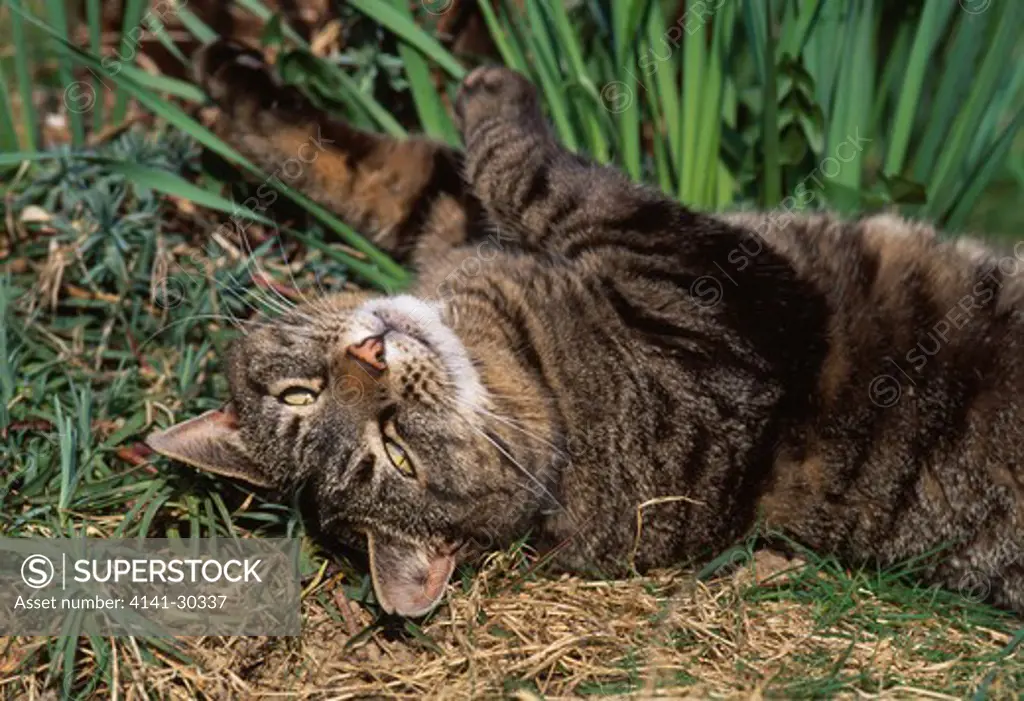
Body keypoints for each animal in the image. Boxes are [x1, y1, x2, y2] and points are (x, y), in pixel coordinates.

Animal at [148, 40, 1024, 614]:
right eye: (395, 452)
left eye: (300, 394)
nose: (370, 351)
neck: (522, 358)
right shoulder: (711, 306)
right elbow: (538, 176)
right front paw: (493, 88)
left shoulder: (457, 227)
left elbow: (375, 169)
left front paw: (229, 76)